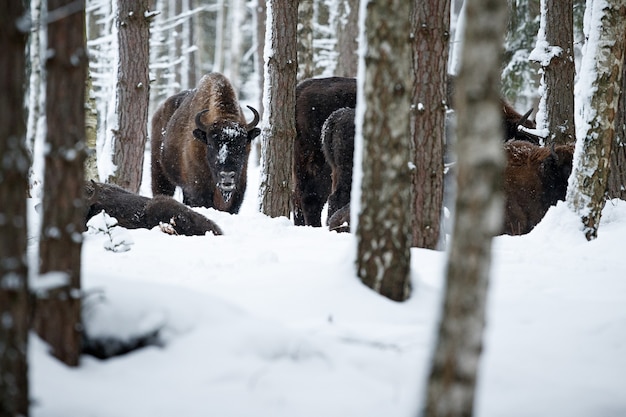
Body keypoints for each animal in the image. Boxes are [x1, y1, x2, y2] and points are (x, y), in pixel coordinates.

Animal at [150, 72, 260, 213]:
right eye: (211, 144)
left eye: (242, 145)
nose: (227, 177)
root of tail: (157, 114)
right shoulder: (198, 190)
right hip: (159, 171)